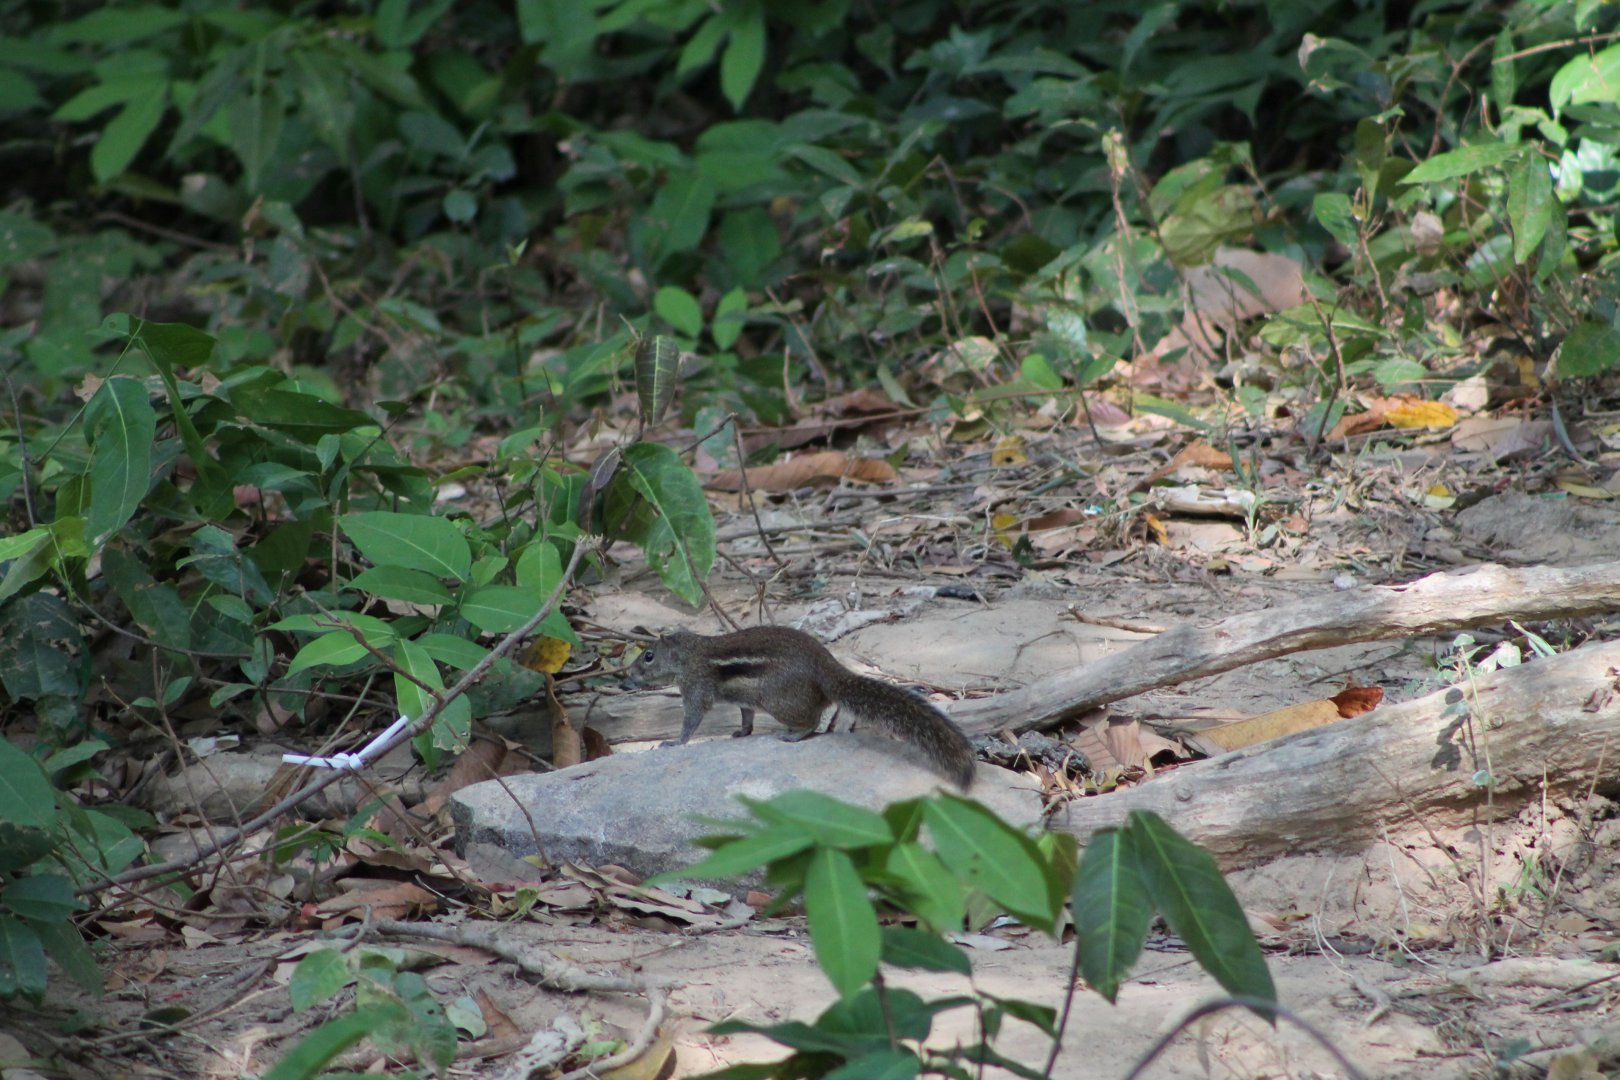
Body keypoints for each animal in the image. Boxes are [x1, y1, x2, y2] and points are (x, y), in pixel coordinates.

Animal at [628, 626, 977, 790]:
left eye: (648, 656)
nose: (627, 676)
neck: (690, 654)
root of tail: (826, 665)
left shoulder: (696, 689)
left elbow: (691, 720)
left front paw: (674, 742)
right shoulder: (743, 700)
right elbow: (746, 716)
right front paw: (741, 732)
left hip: (777, 699)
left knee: (812, 719)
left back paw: (794, 735)